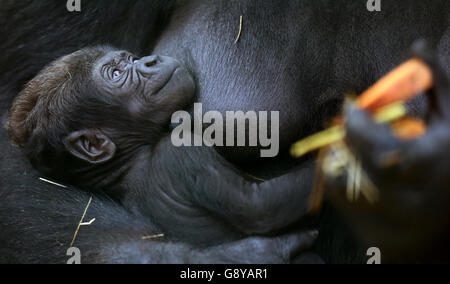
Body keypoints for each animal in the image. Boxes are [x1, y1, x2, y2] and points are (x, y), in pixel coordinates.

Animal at [8, 46, 314, 246]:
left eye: (131, 59)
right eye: (117, 74)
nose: (150, 60)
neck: (133, 159)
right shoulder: (180, 152)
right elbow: (259, 209)